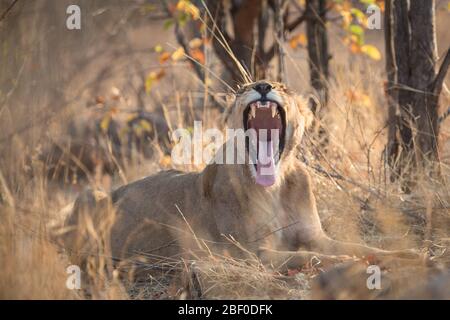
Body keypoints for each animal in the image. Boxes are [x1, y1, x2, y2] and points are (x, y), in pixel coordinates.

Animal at [61, 79, 424, 276]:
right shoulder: (250, 254)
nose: (263, 87)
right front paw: (345, 262)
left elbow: (360, 245)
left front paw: (408, 254)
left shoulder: (316, 235)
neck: (276, 187)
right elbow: (308, 255)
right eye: (245, 88)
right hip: (90, 194)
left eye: (282, 87)